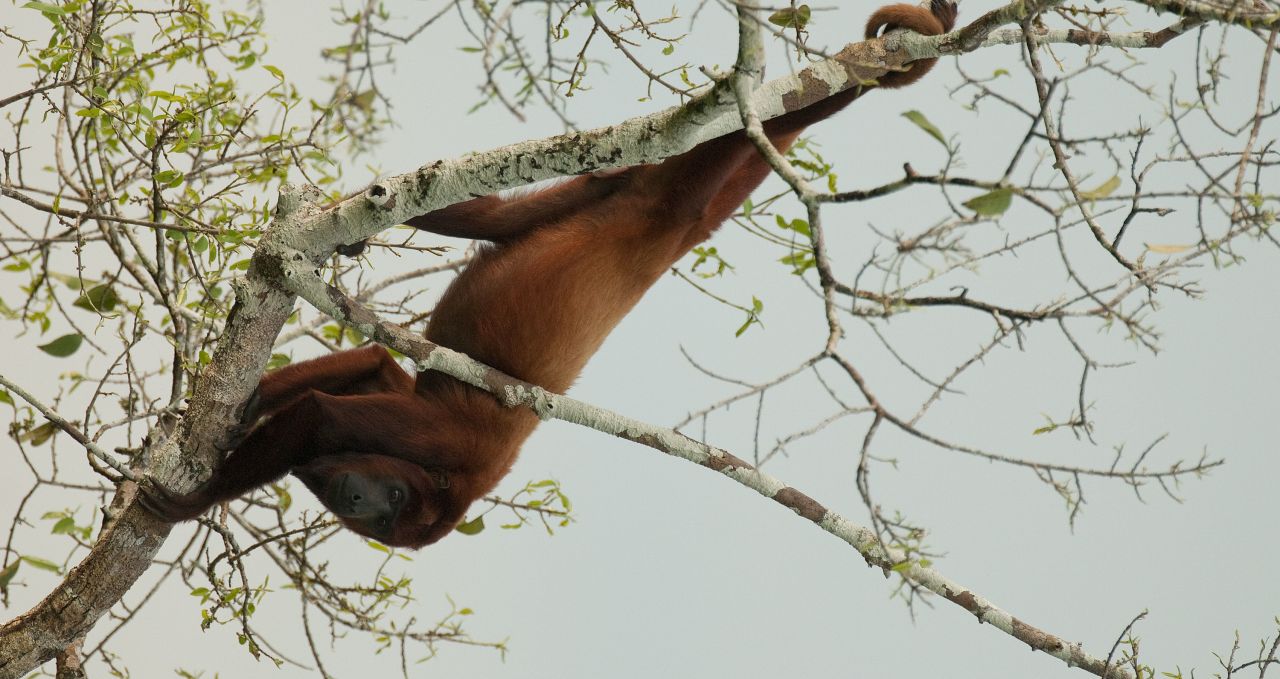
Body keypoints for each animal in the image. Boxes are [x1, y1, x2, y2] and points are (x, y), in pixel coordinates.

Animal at [142, 2, 962, 543]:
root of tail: (669, 234)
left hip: (603, 194)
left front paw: (239, 409)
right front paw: (192, 502)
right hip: (660, 196)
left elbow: (361, 367)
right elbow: (320, 414)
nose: (360, 502)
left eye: (390, 511)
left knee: (500, 214)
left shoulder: (414, 412)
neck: (456, 484)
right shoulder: (449, 441)